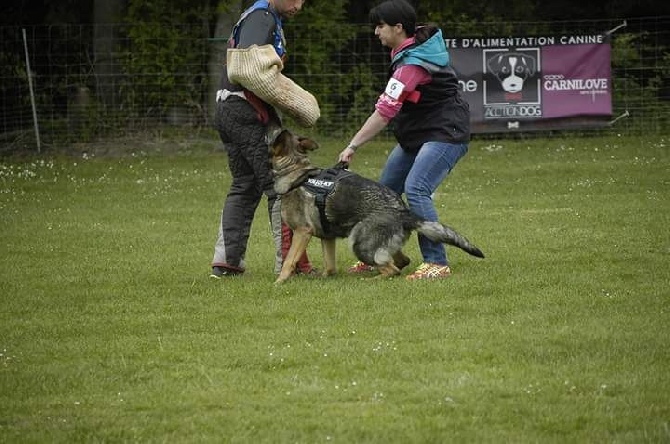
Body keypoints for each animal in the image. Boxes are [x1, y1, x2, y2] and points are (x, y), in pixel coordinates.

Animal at [270, 130, 486, 284]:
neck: (295, 170)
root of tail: (402, 212)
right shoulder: (327, 237)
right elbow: (330, 267)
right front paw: (323, 277)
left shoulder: (302, 232)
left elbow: (289, 261)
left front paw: (279, 282)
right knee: (400, 261)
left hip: (358, 242)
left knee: (393, 269)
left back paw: (371, 279)